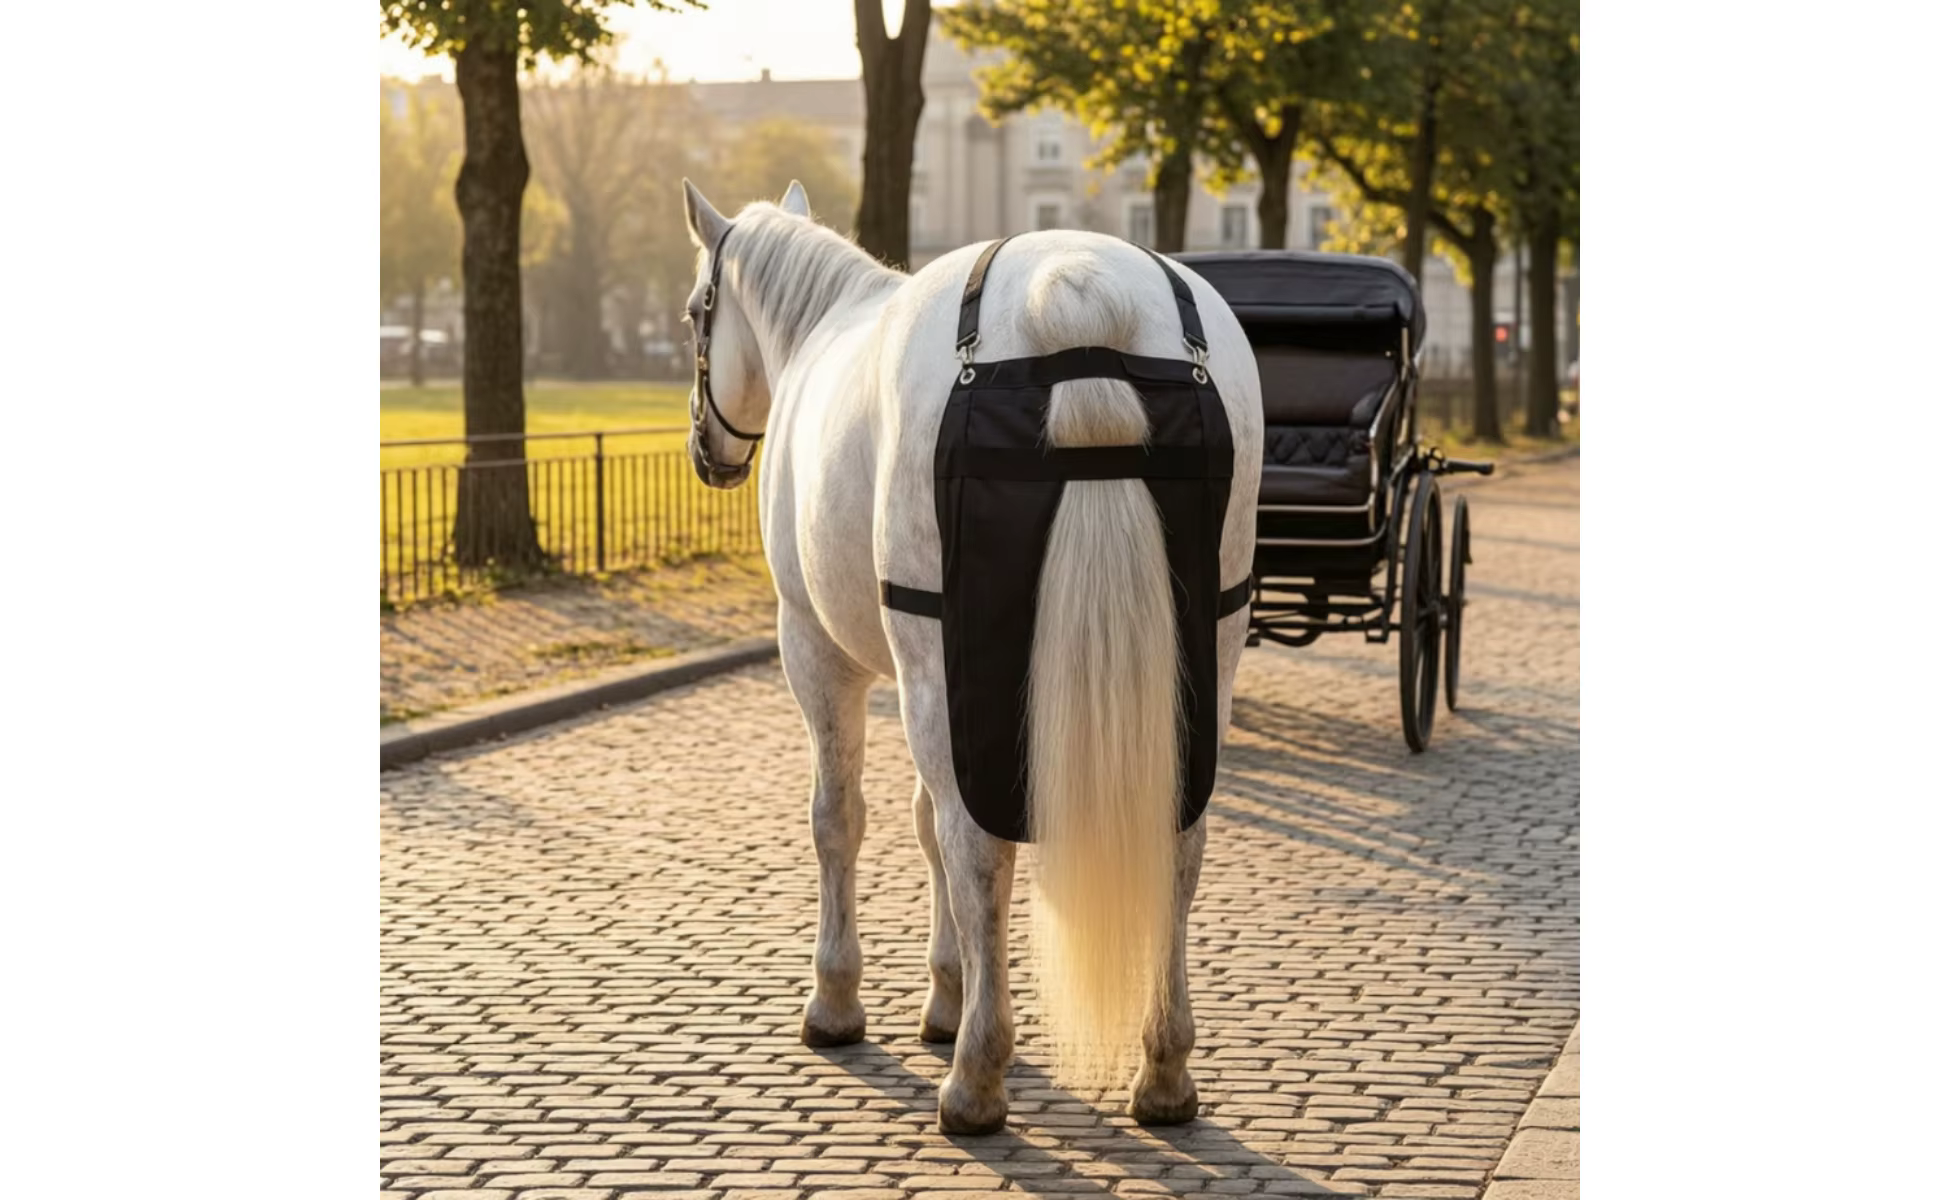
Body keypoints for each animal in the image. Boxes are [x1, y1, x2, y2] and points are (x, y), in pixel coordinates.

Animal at [678, 178, 1262, 1133]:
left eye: (698, 309)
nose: (705, 448)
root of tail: (1081, 284)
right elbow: (923, 825)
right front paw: (944, 990)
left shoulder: (819, 652)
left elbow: (843, 820)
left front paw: (838, 996)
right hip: (1205, 650)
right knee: (1177, 840)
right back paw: (1164, 1067)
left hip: (928, 664)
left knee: (979, 845)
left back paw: (977, 1076)